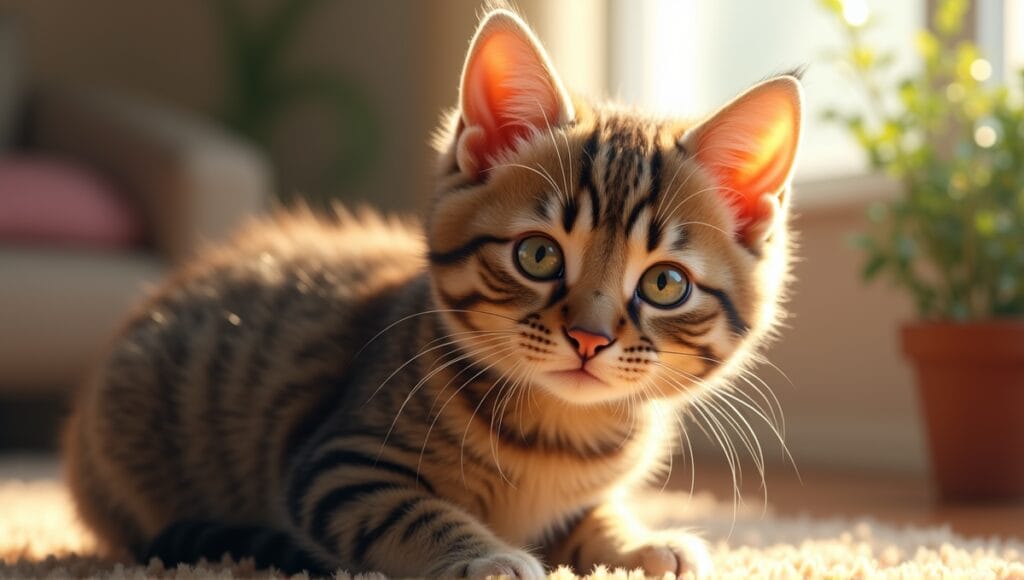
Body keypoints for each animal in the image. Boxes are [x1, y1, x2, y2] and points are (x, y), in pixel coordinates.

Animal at [64, 5, 802, 580]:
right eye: (538, 255)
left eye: (664, 283)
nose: (589, 338)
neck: (560, 436)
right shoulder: (338, 463)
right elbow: (410, 511)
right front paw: (489, 557)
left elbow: (595, 513)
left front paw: (638, 541)